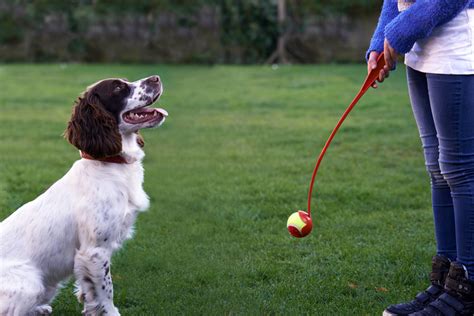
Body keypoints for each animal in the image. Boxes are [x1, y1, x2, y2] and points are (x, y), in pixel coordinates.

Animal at [0, 75, 168, 314]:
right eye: (118, 87)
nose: (156, 78)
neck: (109, 164)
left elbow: (90, 291)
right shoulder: (94, 251)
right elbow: (106, 291)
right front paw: (110, 312)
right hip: (30, 284)